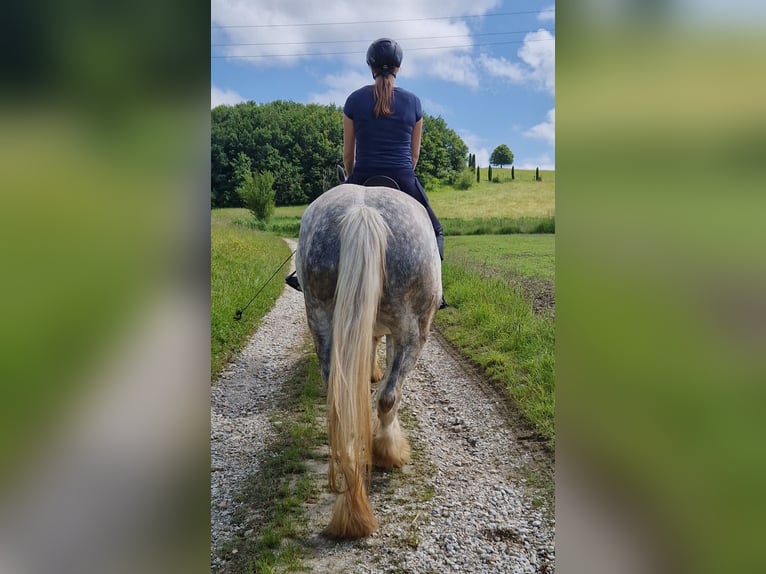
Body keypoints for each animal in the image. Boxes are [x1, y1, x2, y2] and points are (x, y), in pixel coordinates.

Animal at [296, 183, 444, 540]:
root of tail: (362, 213)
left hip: (320, 320)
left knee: (342, 405)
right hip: (414, 330)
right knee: (390, 397)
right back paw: (388, 451)